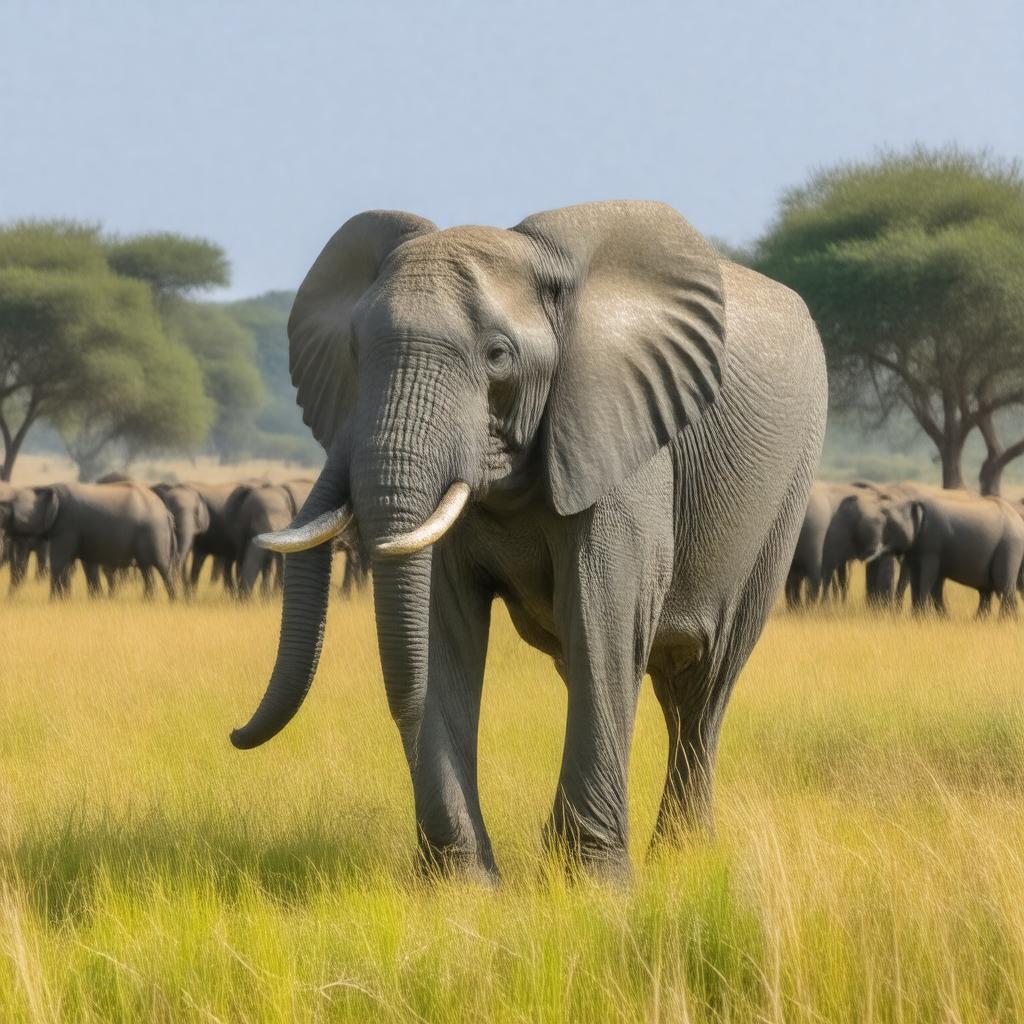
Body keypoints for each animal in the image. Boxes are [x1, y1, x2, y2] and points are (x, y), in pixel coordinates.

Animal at [0, 482, 178, 599]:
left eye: (6, 510)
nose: (9, 600)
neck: (48, 487)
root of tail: (166, 513)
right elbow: (83, 565)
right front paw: (71, 601)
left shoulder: (66, 526)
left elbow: (60, 563)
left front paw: (53, 602)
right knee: (147, 570)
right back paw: (148, 602)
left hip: (154, 533)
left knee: (163, 568)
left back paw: (171, 602)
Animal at [229, 202, 828, 879]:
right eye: (354, 352)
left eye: (497, 356)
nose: (237, 735)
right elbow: (440, 626)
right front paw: (462, 885)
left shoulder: (617, 432)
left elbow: (604, 614)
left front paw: (588, 883)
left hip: (783, 498)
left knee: (702, 687)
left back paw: (685, 859)